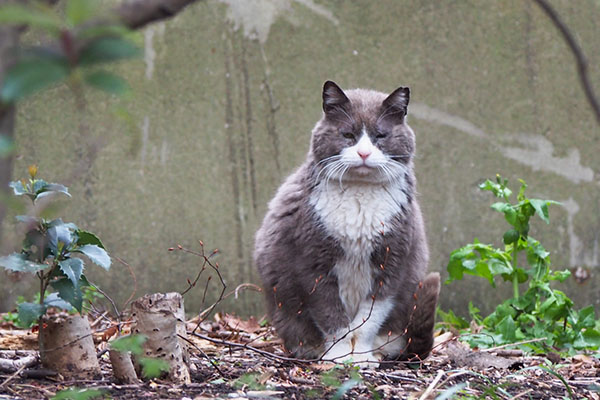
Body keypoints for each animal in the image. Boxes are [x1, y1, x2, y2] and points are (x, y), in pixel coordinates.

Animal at [253, 80, 440, 366]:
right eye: (348, 134)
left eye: (380, 136)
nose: (363, 152)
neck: (359, 197)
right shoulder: (313, 264)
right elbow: (332, 317)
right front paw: (340, 357)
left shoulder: (392, 262)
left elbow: (368, 320)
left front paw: (361, 358)